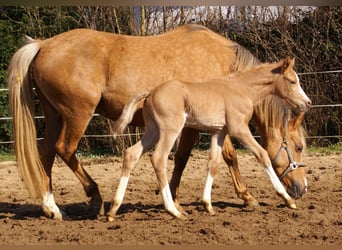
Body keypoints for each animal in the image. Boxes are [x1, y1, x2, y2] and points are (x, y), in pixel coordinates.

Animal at [107, 57, 310, 220]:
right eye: (292, 81)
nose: (307, 103)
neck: (242, 89)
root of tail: (150, 93)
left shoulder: (219, 131)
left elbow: (214, 163)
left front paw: (207, 205)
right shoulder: (239, 129)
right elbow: (262, 155)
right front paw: (288, 199)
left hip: (153, 131)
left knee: (131, 154)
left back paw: (113, 210)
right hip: (169, 130)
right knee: (158, 159)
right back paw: (174, 211)